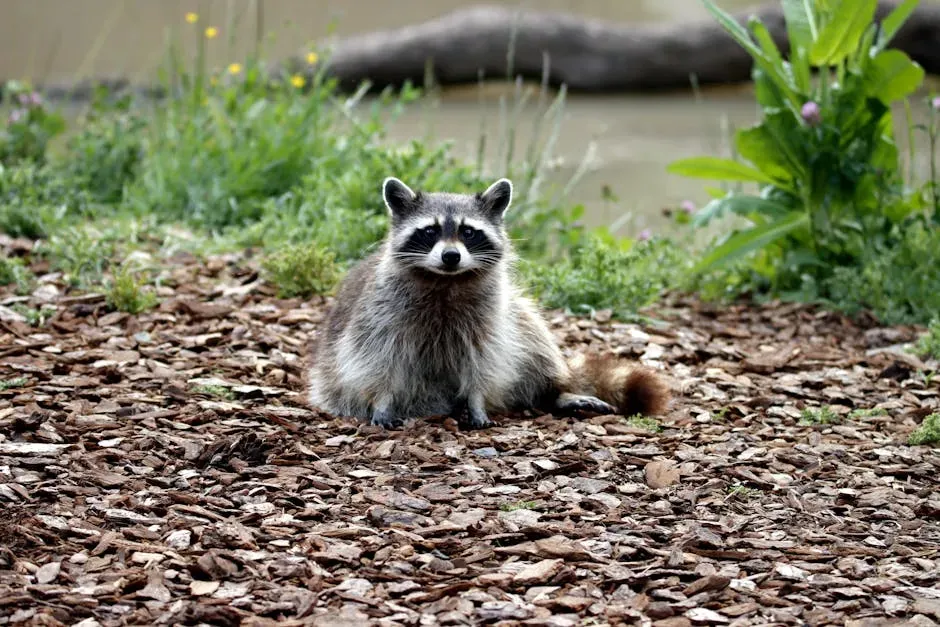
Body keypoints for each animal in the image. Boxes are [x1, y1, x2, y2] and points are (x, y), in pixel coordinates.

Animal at [305, 176, 670, 429]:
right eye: (429, 232)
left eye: (468, 232)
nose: (451, 256)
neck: (446, 280)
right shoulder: (380, 314)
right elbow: (376, 359)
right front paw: (382, 400)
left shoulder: (489, 317)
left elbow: (485, 359)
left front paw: (478, 401)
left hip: (513, 311)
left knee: (532, 332)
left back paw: (555, 391)